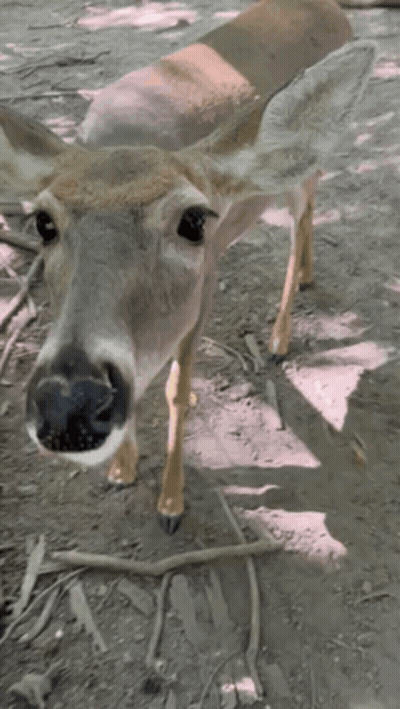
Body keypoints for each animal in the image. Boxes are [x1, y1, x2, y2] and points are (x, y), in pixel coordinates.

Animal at [0, 0, 375, 532]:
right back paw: (305, 277)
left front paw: (171, 503)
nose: (69, 406)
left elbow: (176, 390)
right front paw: (122, 470)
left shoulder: (207, 279)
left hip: (297, 175)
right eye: (44, 222)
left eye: (195, 220)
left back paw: (280, 338)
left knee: (303, 213)